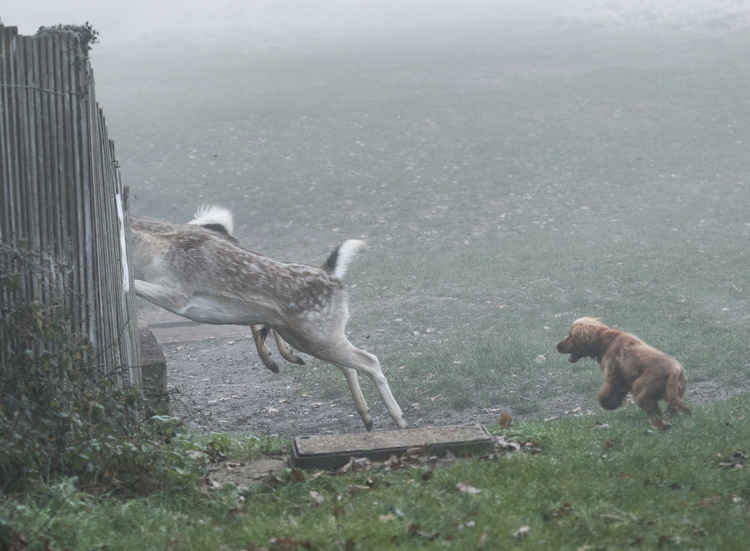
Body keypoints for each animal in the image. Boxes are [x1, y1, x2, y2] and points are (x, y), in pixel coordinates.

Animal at [131, 207, 408, 432]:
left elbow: (135, 285)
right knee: (350, 365)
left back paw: (400, 420)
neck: (153, 255)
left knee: (369, 360)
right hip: (307, 337)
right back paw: (368, 419)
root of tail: (334, 278)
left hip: (320, 334)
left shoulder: (180, 295)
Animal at [560, 316, 692, 430]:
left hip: (640, 388)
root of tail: (675, 370)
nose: (557, 346)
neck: (605, 341)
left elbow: (602, 396)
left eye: (570, 335)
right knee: (673, 407)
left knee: (655, 413)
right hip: (672, 393)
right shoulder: (623, 381)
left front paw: (609, 404)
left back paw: (660, 426)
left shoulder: (613, 377)